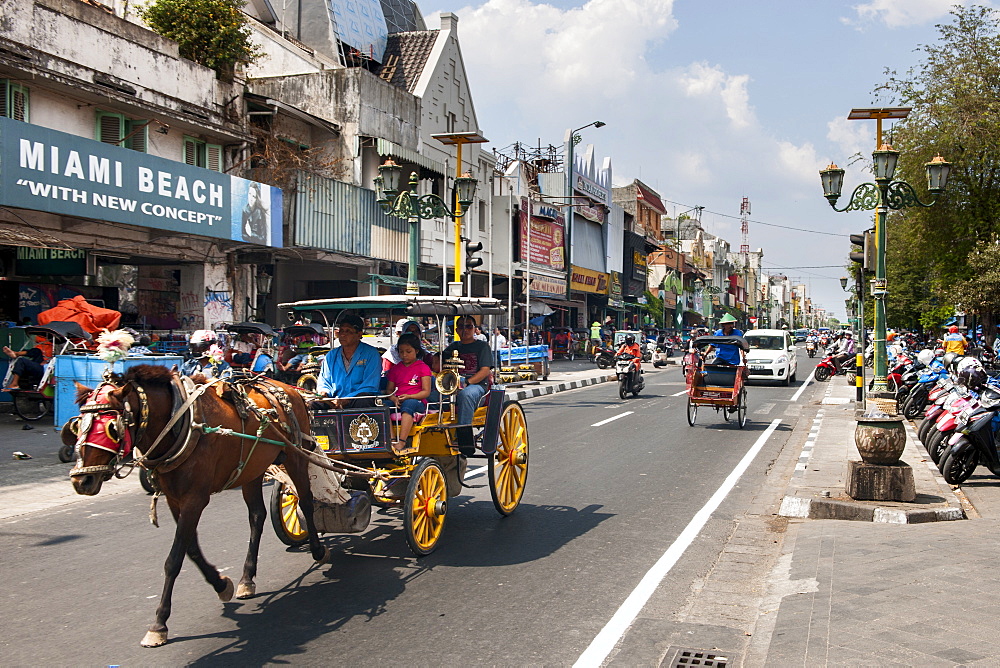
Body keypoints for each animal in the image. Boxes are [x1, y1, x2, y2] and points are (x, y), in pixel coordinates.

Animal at [70, 366, 328, 648]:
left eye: (111, 428)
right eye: (77, 425)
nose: (82, 480)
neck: (180, 423)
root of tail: (288, 387)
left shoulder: (195, 498)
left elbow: (174, 559)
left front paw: (159, 624)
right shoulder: (175, 499)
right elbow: (191, 549)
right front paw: (221, 584)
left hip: (295, 456)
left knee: (305, 500)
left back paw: (317, 550)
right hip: (253, 469)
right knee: (257, 516)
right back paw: (247, 578)